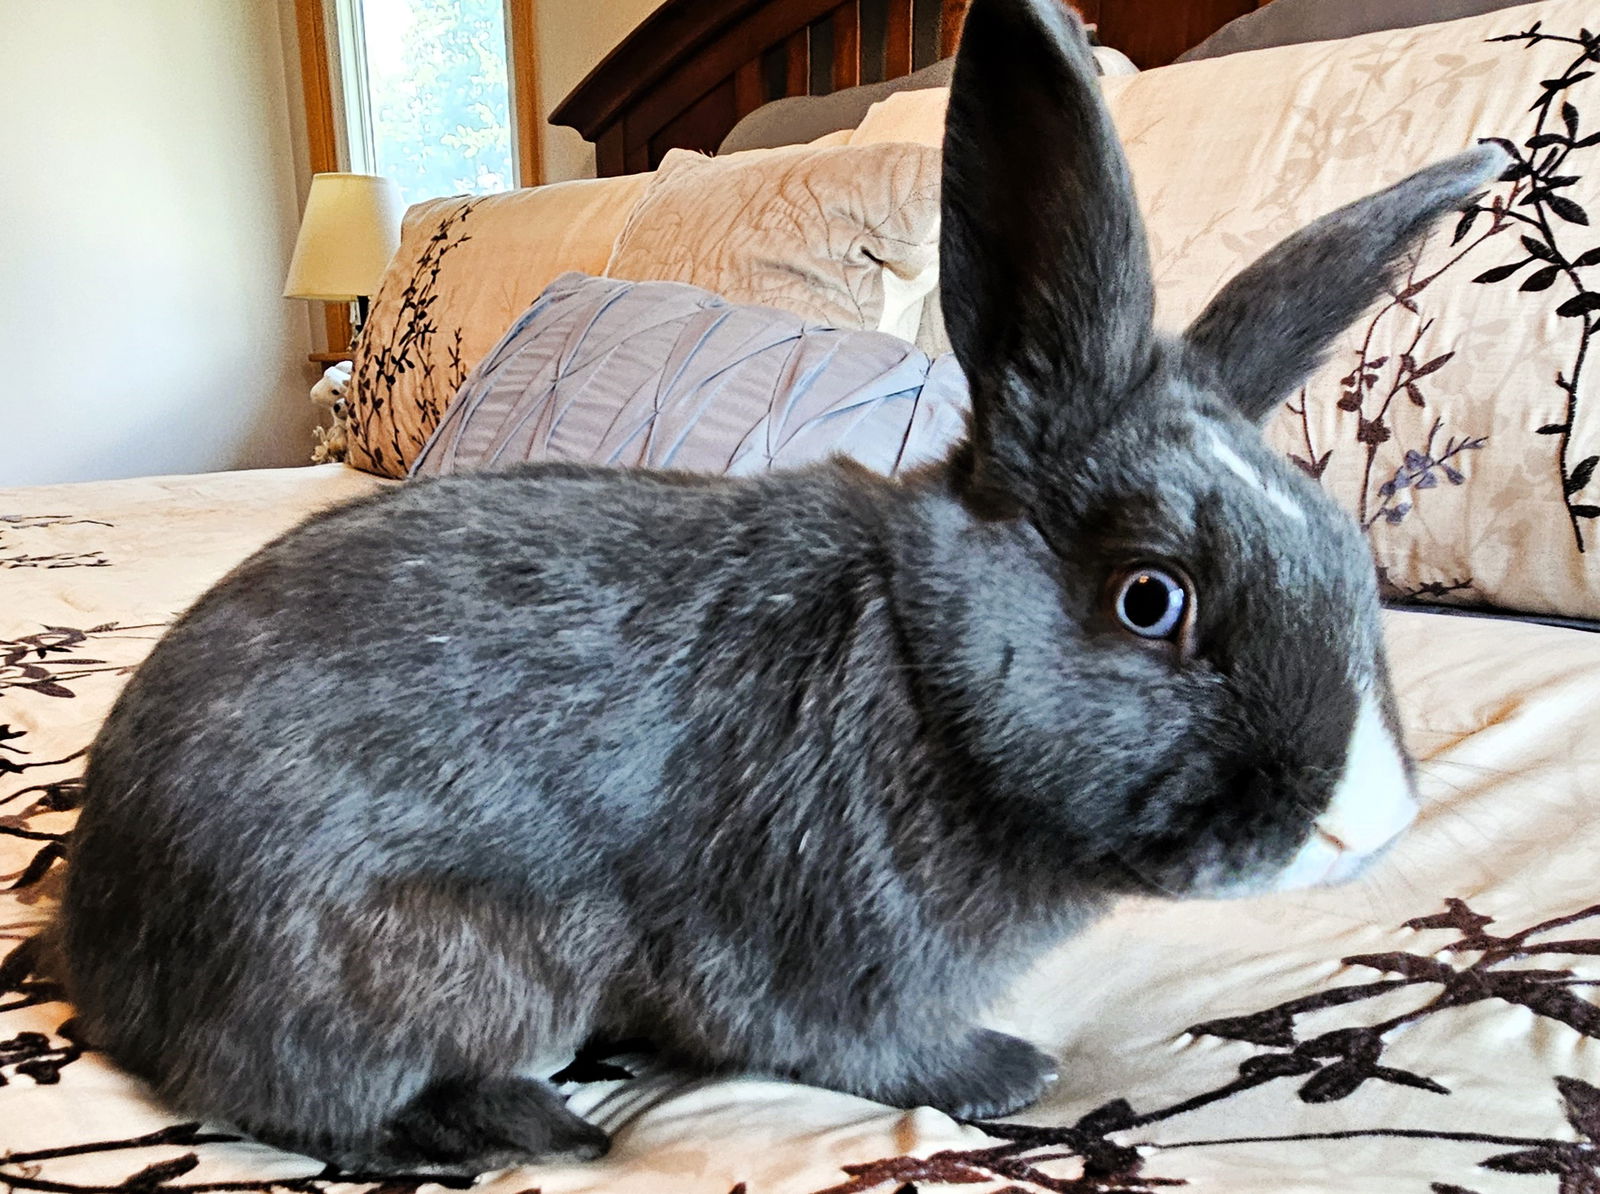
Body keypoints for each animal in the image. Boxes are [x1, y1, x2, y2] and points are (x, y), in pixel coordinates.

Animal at [50, 0, 1497, 1171]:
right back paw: (529, 1124)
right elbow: (854, 1047)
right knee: (304, 1098)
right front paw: (1008, 1070)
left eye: (1348, 555)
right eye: (1151, 599)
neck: (920, 670)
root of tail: (98, 946)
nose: (1362, 823)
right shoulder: (815, 950)